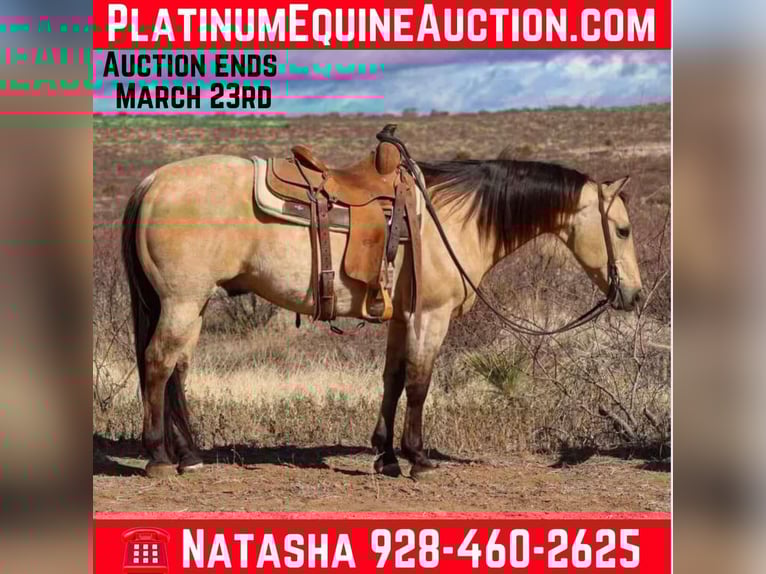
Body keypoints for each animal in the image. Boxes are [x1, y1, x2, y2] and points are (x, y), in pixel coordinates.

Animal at [121, 153, 642, 478]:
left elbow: (392, 379)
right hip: (182, 302)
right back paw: (159, 457)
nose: (634, 296)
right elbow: (419, 382)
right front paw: (418, 458)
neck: (451, 220)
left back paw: (189, 454)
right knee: (158, 365)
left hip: (191, 304)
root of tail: (153, 182)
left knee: (176, 371)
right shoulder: (431, 316)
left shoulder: (401, 317)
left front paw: (386, 456)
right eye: (622, 229)